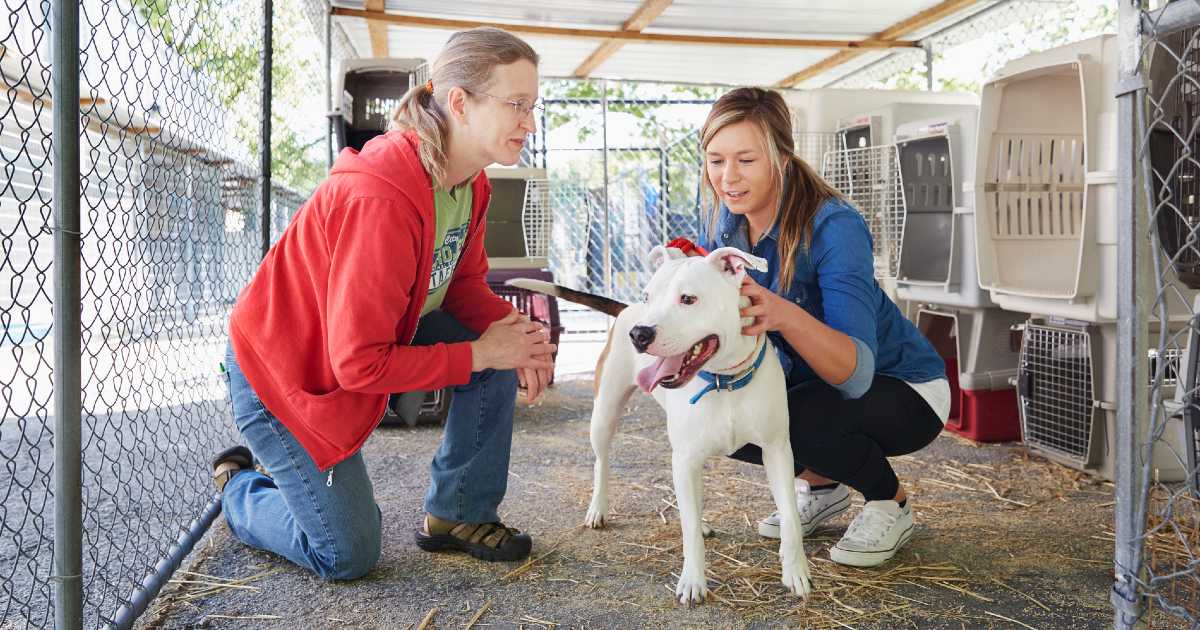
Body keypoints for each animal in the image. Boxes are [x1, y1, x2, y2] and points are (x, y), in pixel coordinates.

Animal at [511, 246, 811, 604]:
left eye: (688, 299)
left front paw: (796, 572)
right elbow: (689, 531)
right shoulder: (685, 456)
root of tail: (626, 309)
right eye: (648, 296)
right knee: (601, 461)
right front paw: (693, 580)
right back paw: (598, 508)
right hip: (604, 414)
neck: (723, 381)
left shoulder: (777, 450)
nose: (639, 334)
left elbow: (790, 517)